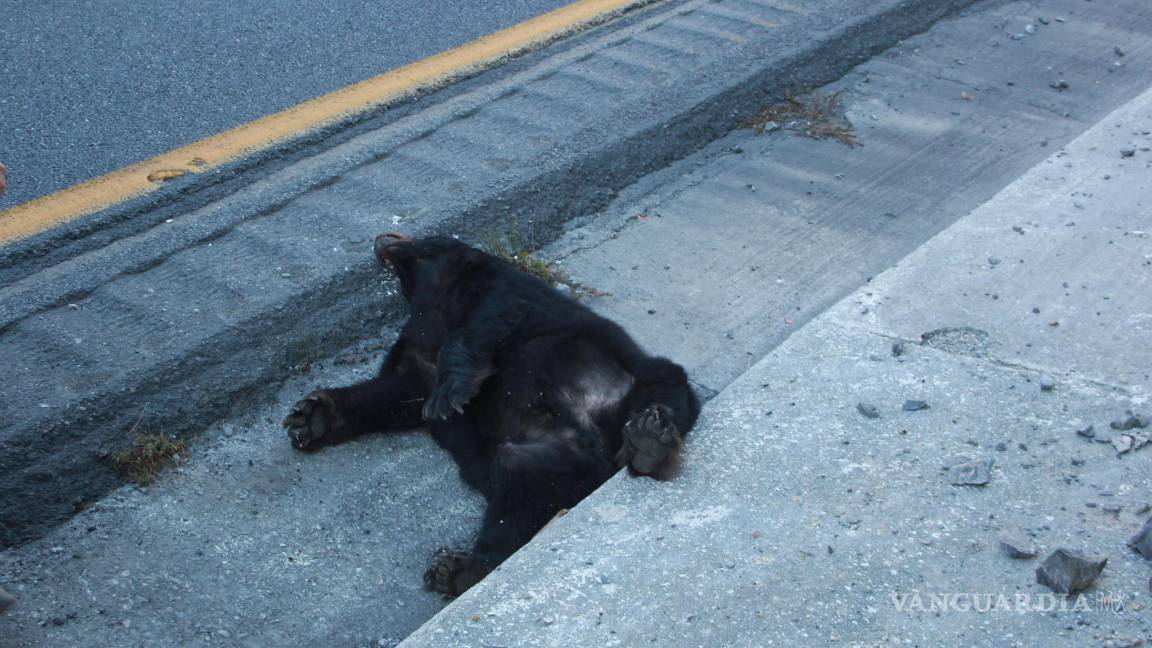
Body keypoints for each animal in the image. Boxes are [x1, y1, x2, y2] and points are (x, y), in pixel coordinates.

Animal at [283, 233, 700, 596]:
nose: (382, 242)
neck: (427, 287)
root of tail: (604, 453)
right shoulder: (417, 357)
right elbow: (393, 394)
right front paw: (311, 418)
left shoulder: (494, 283)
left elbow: (488, 315)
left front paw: (450, 392)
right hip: (540, 461)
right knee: (518, 503)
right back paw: (462, 568)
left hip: (636, 376)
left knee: (665, 389)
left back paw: (649, 439)